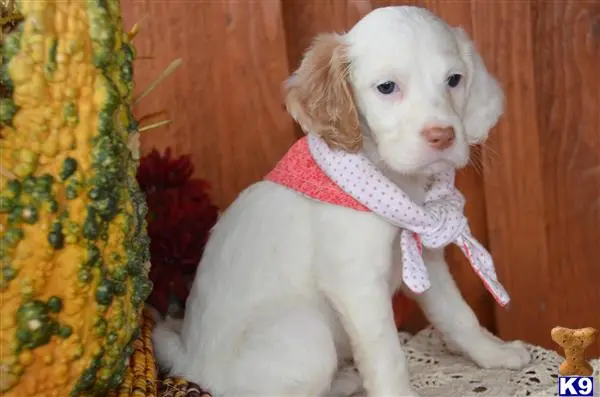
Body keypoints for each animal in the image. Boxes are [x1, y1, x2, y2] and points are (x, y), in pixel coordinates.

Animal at [154, 6, 528, 396]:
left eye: (454, 79)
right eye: (387, 87)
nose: (442, 136)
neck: (395, 185)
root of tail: (189, 366)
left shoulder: (427, 262)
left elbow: (458, 314)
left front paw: (495, 353)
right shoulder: (357, 285)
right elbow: (386, 356)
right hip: (309, 338)